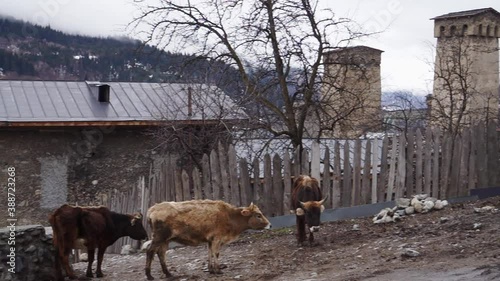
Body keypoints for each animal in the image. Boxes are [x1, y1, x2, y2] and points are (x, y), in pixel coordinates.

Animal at [143, 198, 272, 278]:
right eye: (258, 215)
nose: (270, 225)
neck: (229, 216)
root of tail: (152, 209)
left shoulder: (210, 240)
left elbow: (209, 253)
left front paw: (211, 269)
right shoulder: (217, 238)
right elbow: (216, 253)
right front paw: (218, 270)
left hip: (165, 240)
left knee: (161, 253)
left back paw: (168, 274)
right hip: (159, 238)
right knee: (150, 251)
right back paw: (149, 275)